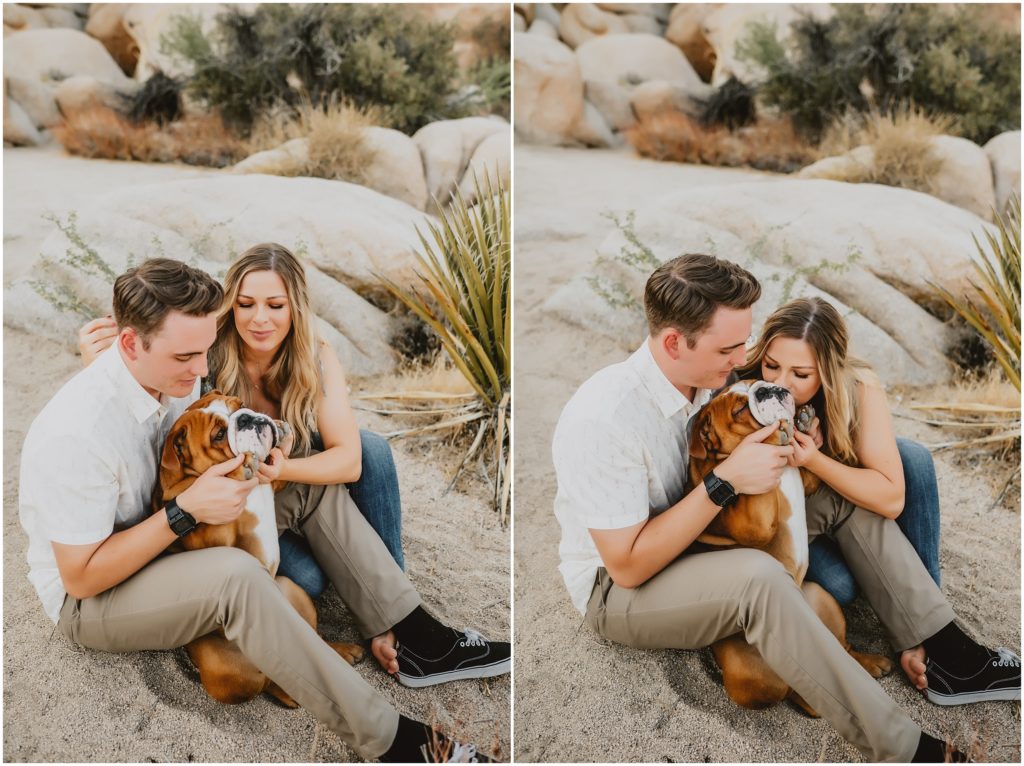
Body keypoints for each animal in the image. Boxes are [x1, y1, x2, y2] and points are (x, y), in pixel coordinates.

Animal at [149, 391, 362, 708]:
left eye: (240, 405)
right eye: (218, 435)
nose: (249, 418)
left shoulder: (273, 480)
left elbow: (277, 469)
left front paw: (281, 432)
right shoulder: (214, 537)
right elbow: (202, 492)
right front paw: (235, 470)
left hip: (291, 590)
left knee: (310, 646)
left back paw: (343, 651)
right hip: (221, 666)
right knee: (269, 682)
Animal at [688, 380, 897, 716]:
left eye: (756, 382)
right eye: (739, 409)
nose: (767, 389)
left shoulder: (806, 479)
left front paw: (805, 424)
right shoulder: (754, 523)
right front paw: (772, 437)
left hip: (821, 598)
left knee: (840, 653)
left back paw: (871, 663)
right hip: (747, 675)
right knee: (795, 693)